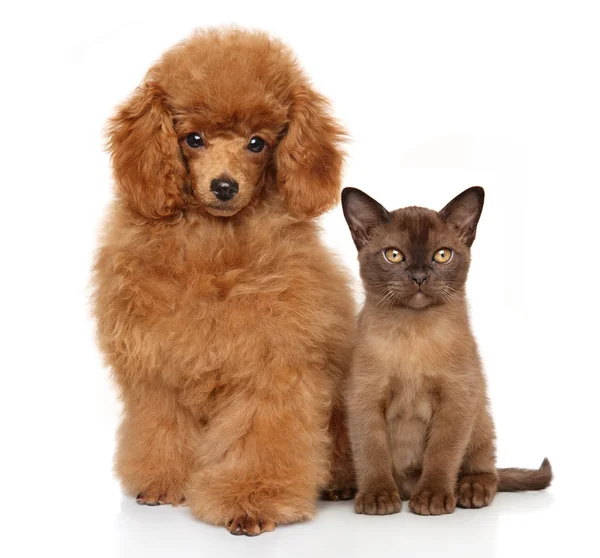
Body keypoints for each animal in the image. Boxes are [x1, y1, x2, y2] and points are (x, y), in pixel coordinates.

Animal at [92, 28, 356, 536]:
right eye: (192, 139)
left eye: (257, 143)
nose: (224, 186)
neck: (213, 251)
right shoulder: (159, 366)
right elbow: (161, 426)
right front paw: (163, 483)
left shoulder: (271, 365)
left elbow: (260, 436)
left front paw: (251, 500)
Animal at [342, 187, 552, 516]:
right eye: (394, 255)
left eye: (442, 255)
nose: (419, 277)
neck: (414, 334)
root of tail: (406, 489)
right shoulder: (364, 398)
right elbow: (371, 452)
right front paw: (377, 497)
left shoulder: (456, 398)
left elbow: (442, 453)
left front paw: (432, 498)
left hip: (480, 416)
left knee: (486, 470)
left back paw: (470, 491)